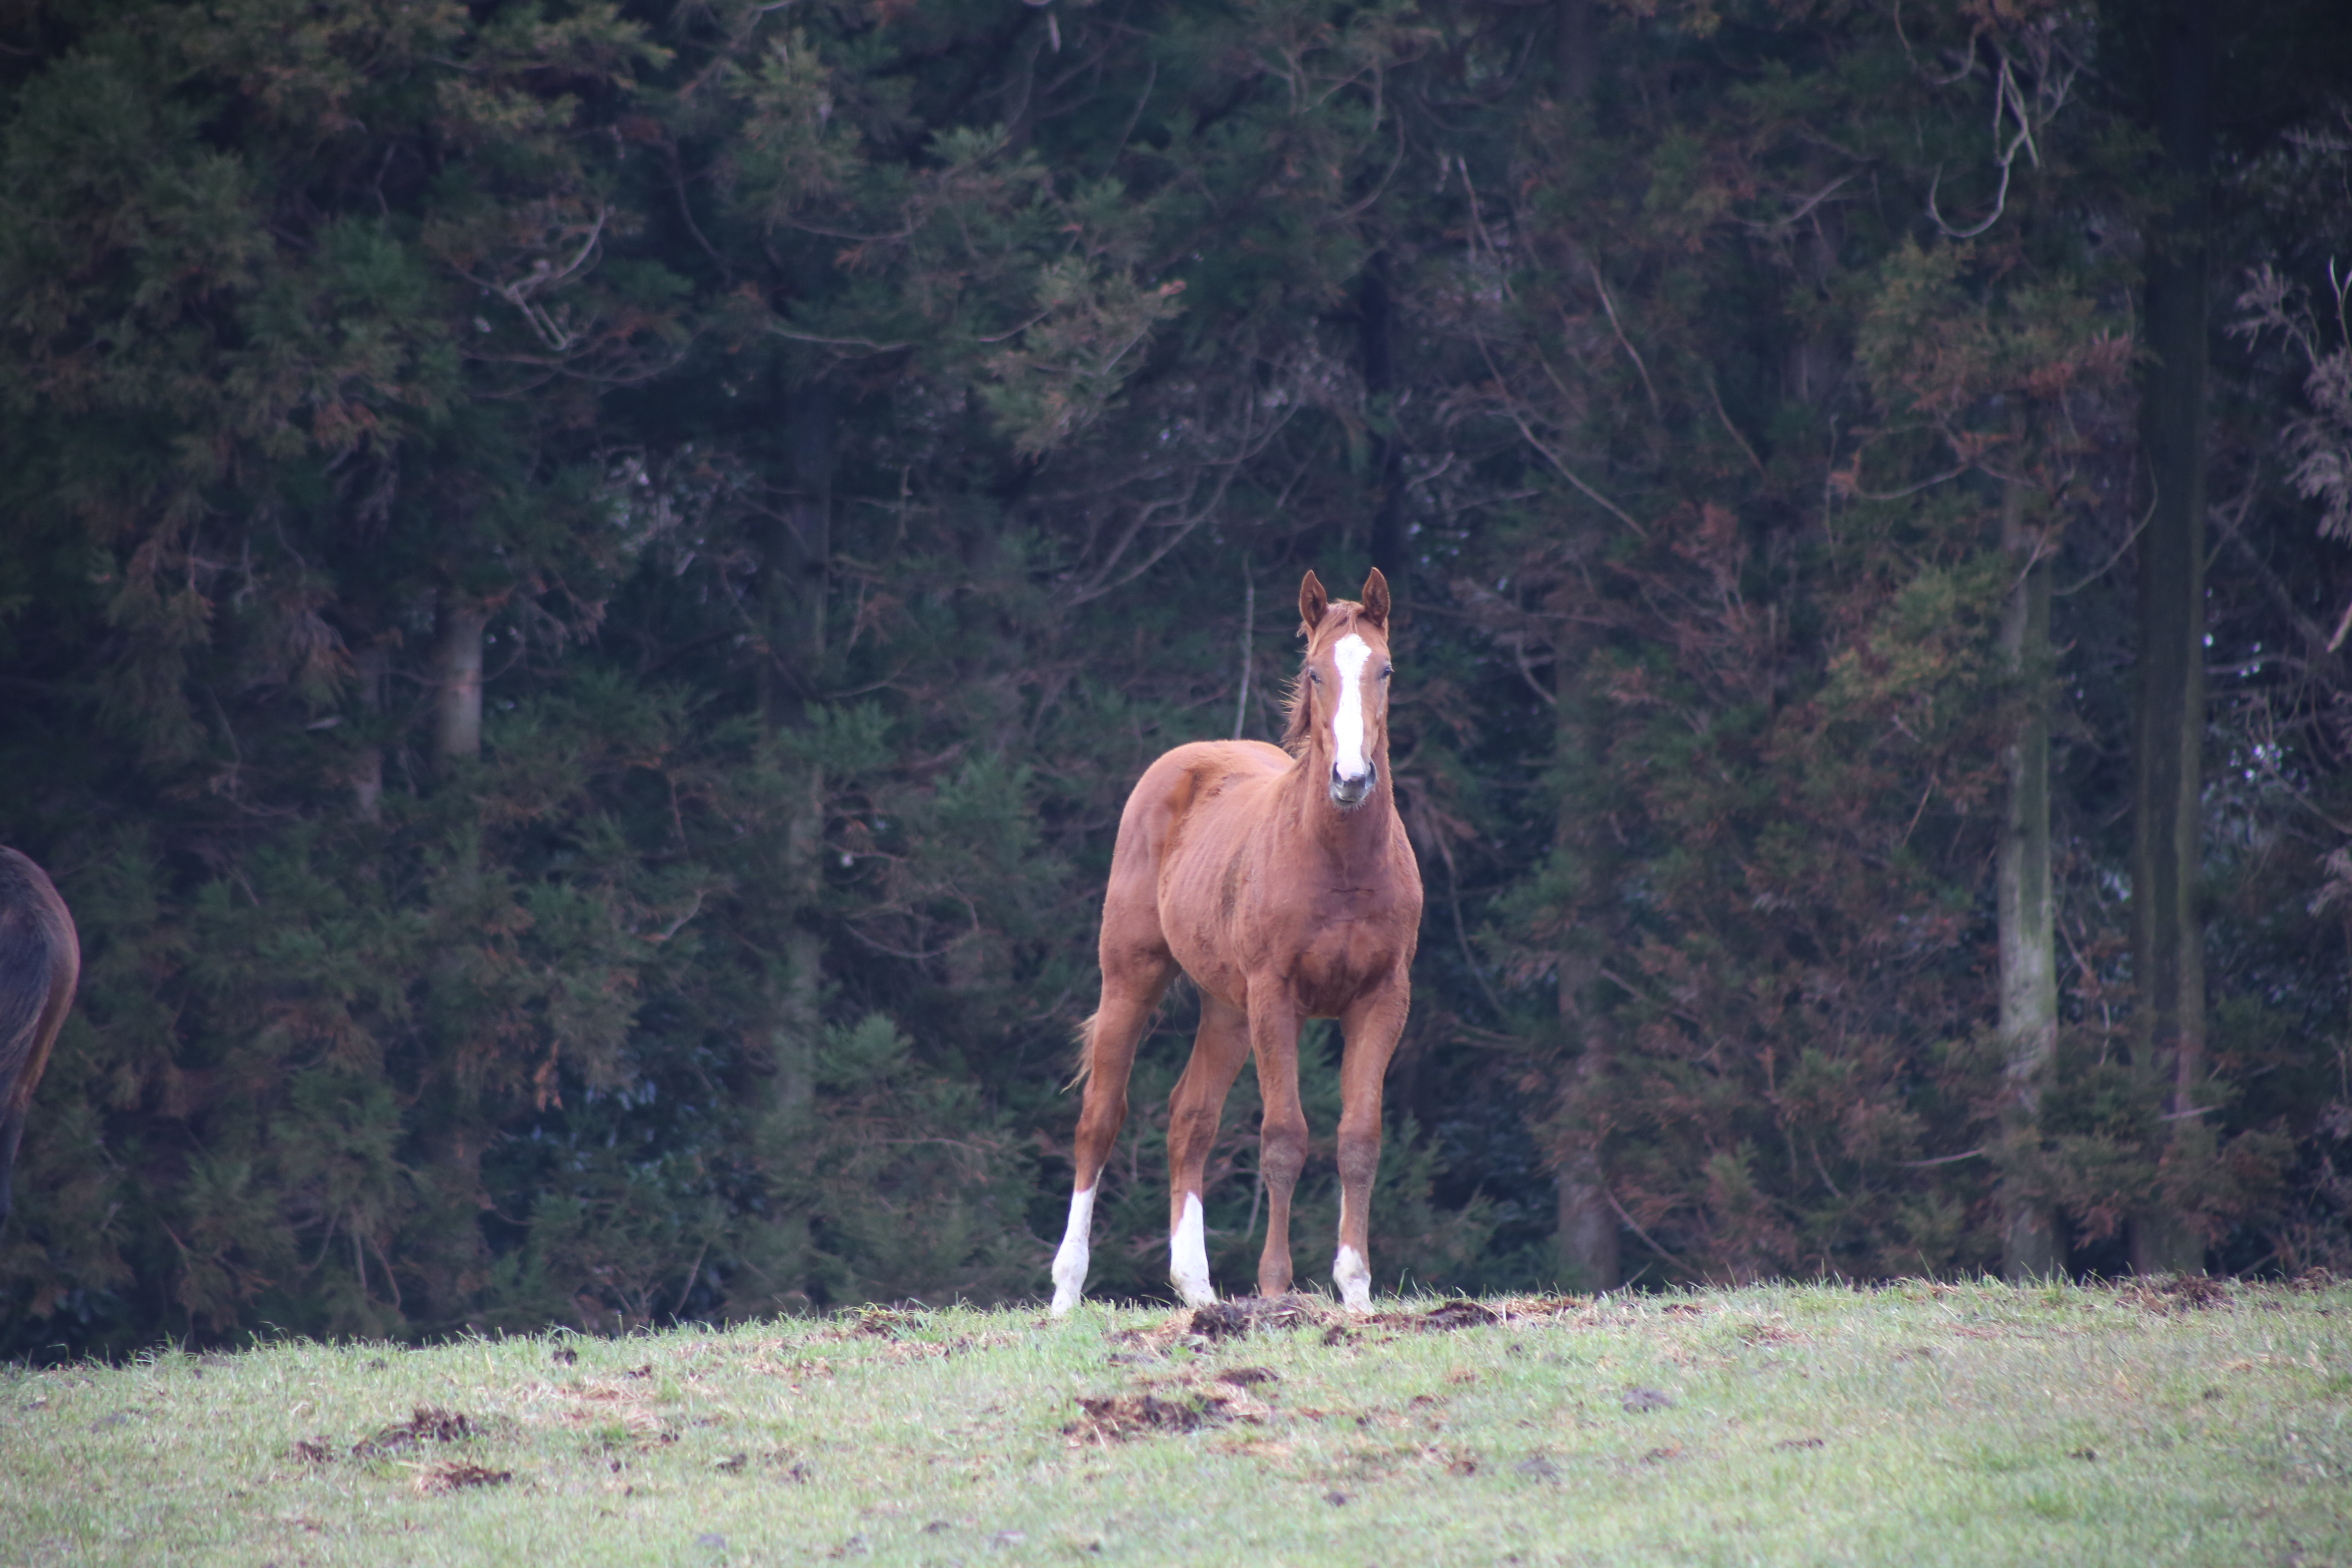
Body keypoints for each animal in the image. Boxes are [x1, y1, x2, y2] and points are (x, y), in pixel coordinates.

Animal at [1058, 571, 1421, 1316]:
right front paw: (1277, 1286)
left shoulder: (1382, 999)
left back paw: (1198, 1291)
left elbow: (1358, 1139)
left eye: (1386, 669)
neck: (1341, 864)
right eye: (1314, 672)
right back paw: (1064, 1291)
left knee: (1189, 1118)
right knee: (1100, 1118)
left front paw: (1357, 1290)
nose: (1351, 779)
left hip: (1226, 1009)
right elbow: (1284, 1138)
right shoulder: (1275, 997)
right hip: (1133, 977)